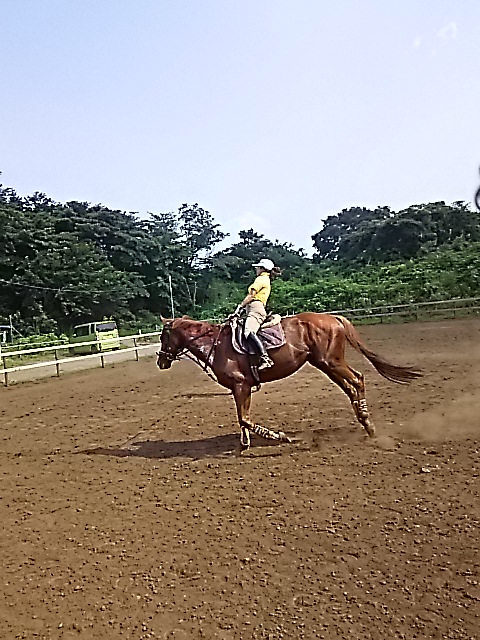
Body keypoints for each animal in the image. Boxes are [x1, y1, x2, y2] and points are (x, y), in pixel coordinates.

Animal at [156, 313, 422, 451]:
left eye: (163, 336)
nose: (161, 361)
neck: (215, 344)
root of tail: (332, 317)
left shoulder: (241, 385)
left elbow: (245, 419)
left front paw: (284, 437)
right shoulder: (240, 388)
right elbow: (243, 419)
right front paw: (245, 443)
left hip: (331, 362)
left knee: (357, 380)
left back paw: (369, 425)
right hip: (325, 364)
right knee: (350, 387)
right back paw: (365, 424)